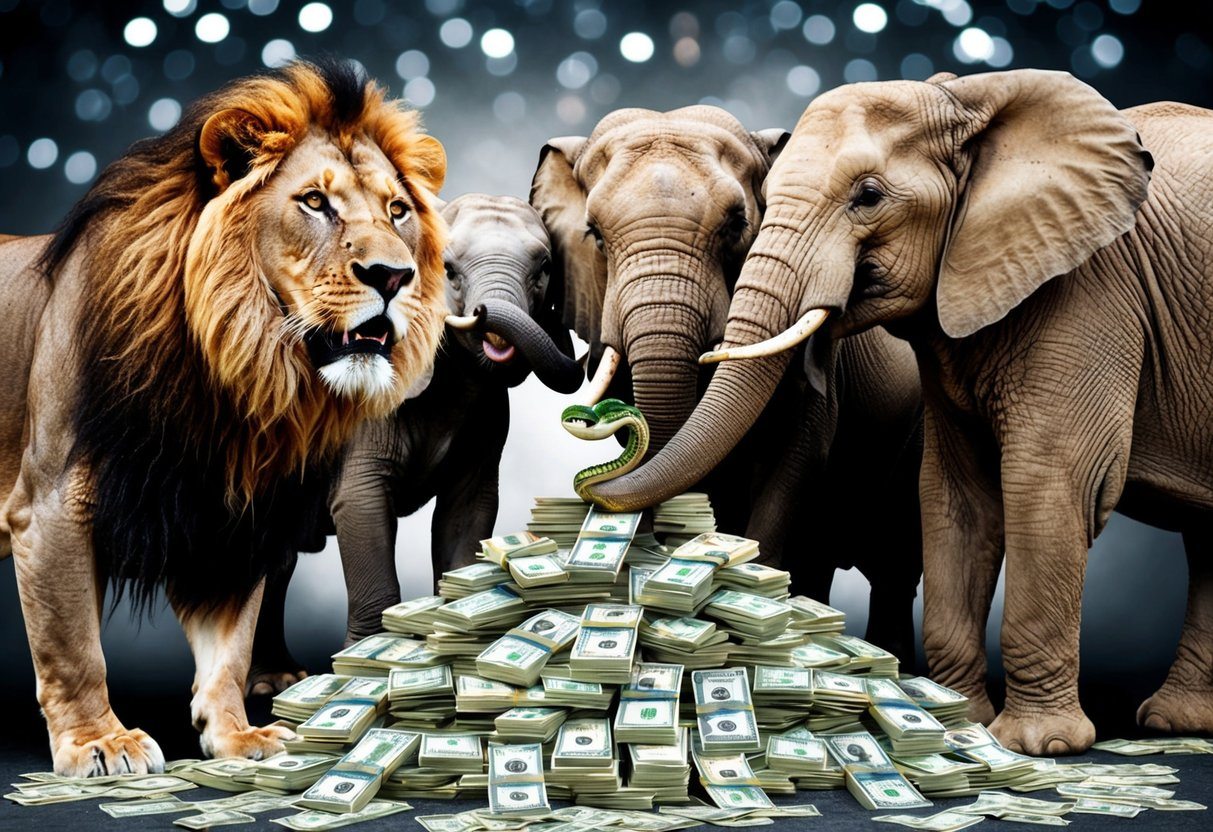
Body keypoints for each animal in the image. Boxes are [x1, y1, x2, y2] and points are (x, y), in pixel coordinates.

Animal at [0, 59, 449, 776]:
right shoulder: (50, 503)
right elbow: (73, 645)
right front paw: (100, 741)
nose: (393, 276)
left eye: (397, 210)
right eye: (314, 202)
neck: (228, 369)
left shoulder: (234, 514)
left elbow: (229, 647)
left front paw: (238, 736)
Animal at [248, 193, 581, 691]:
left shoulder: (488, 417)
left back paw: (279, 680)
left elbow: (467, 515)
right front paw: (368, 665)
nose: (483, 314)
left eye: (544, 268)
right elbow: (361, 505)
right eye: (448, 269)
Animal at [587, 69, 1213, 756]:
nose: (591, 476)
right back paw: (1178, 724)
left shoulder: (1089, 290)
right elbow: (955, 495)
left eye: (868, 196)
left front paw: (1037, 747)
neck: (969, 97)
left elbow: (1051, 483)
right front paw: (958, 723)